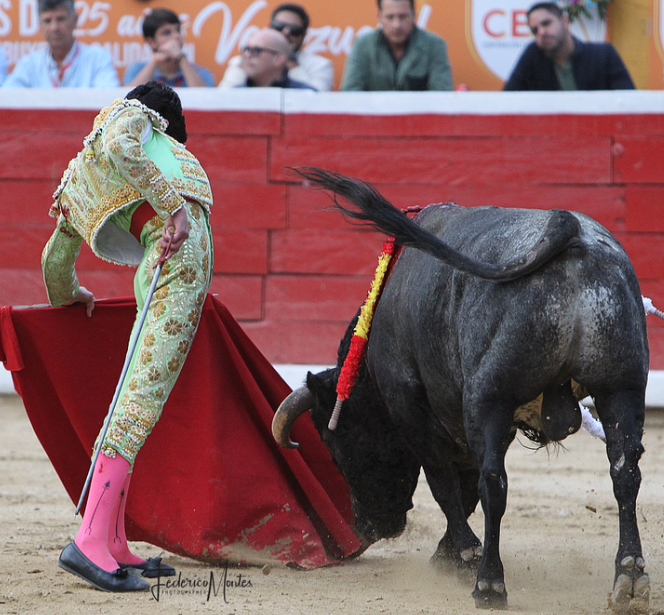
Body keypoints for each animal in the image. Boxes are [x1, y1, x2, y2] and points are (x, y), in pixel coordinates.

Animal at [272, 168, 650, 612]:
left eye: (336, 444)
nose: (369, 526)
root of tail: (571, 233)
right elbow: (462, 484)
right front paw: (448, 552)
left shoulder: (412, 406)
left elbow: (446, 482)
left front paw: (460, 554)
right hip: (621, 386)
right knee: (625, 472)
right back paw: (630, 579)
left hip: (492, 397)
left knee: (494, 484)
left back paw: (489, 583)